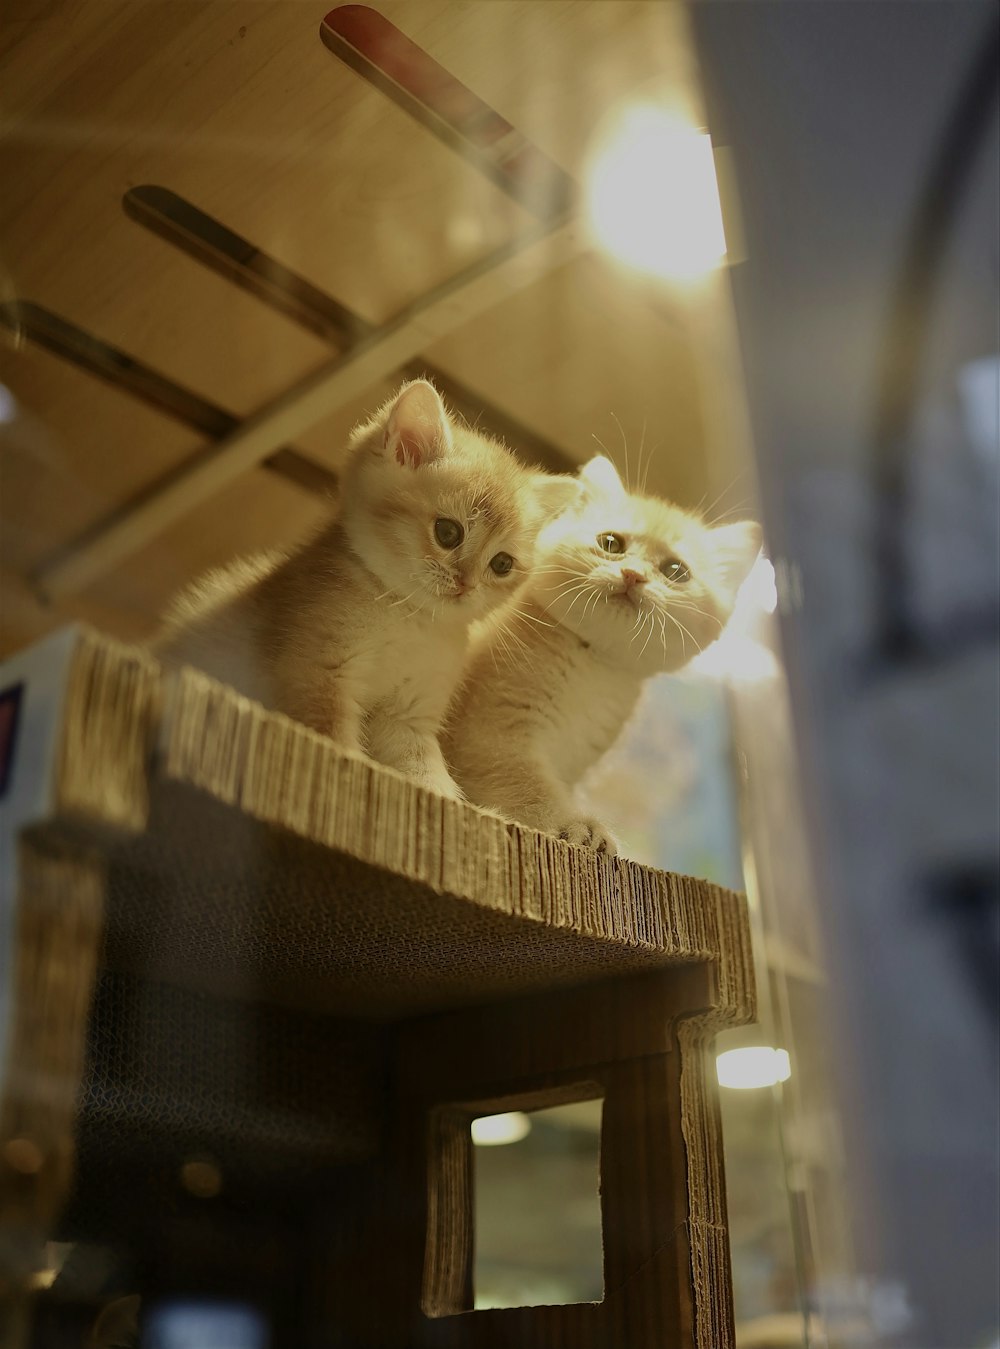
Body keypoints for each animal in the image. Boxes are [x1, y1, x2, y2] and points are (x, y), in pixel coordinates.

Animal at [157, 377, 577, 798]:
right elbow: (335, 740)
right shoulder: (315, 673)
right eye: (447, 532)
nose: (466, 583)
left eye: (502, 564)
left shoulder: (406, 718)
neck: (408, 617)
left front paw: (453, 799)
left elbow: (425, 772)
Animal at [439, 458, 761, 847]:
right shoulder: (492, 736)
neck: (592, 666)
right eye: (611, 543)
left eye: (675, 570)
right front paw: (576, 825)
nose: (633, 575)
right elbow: (528, 787)